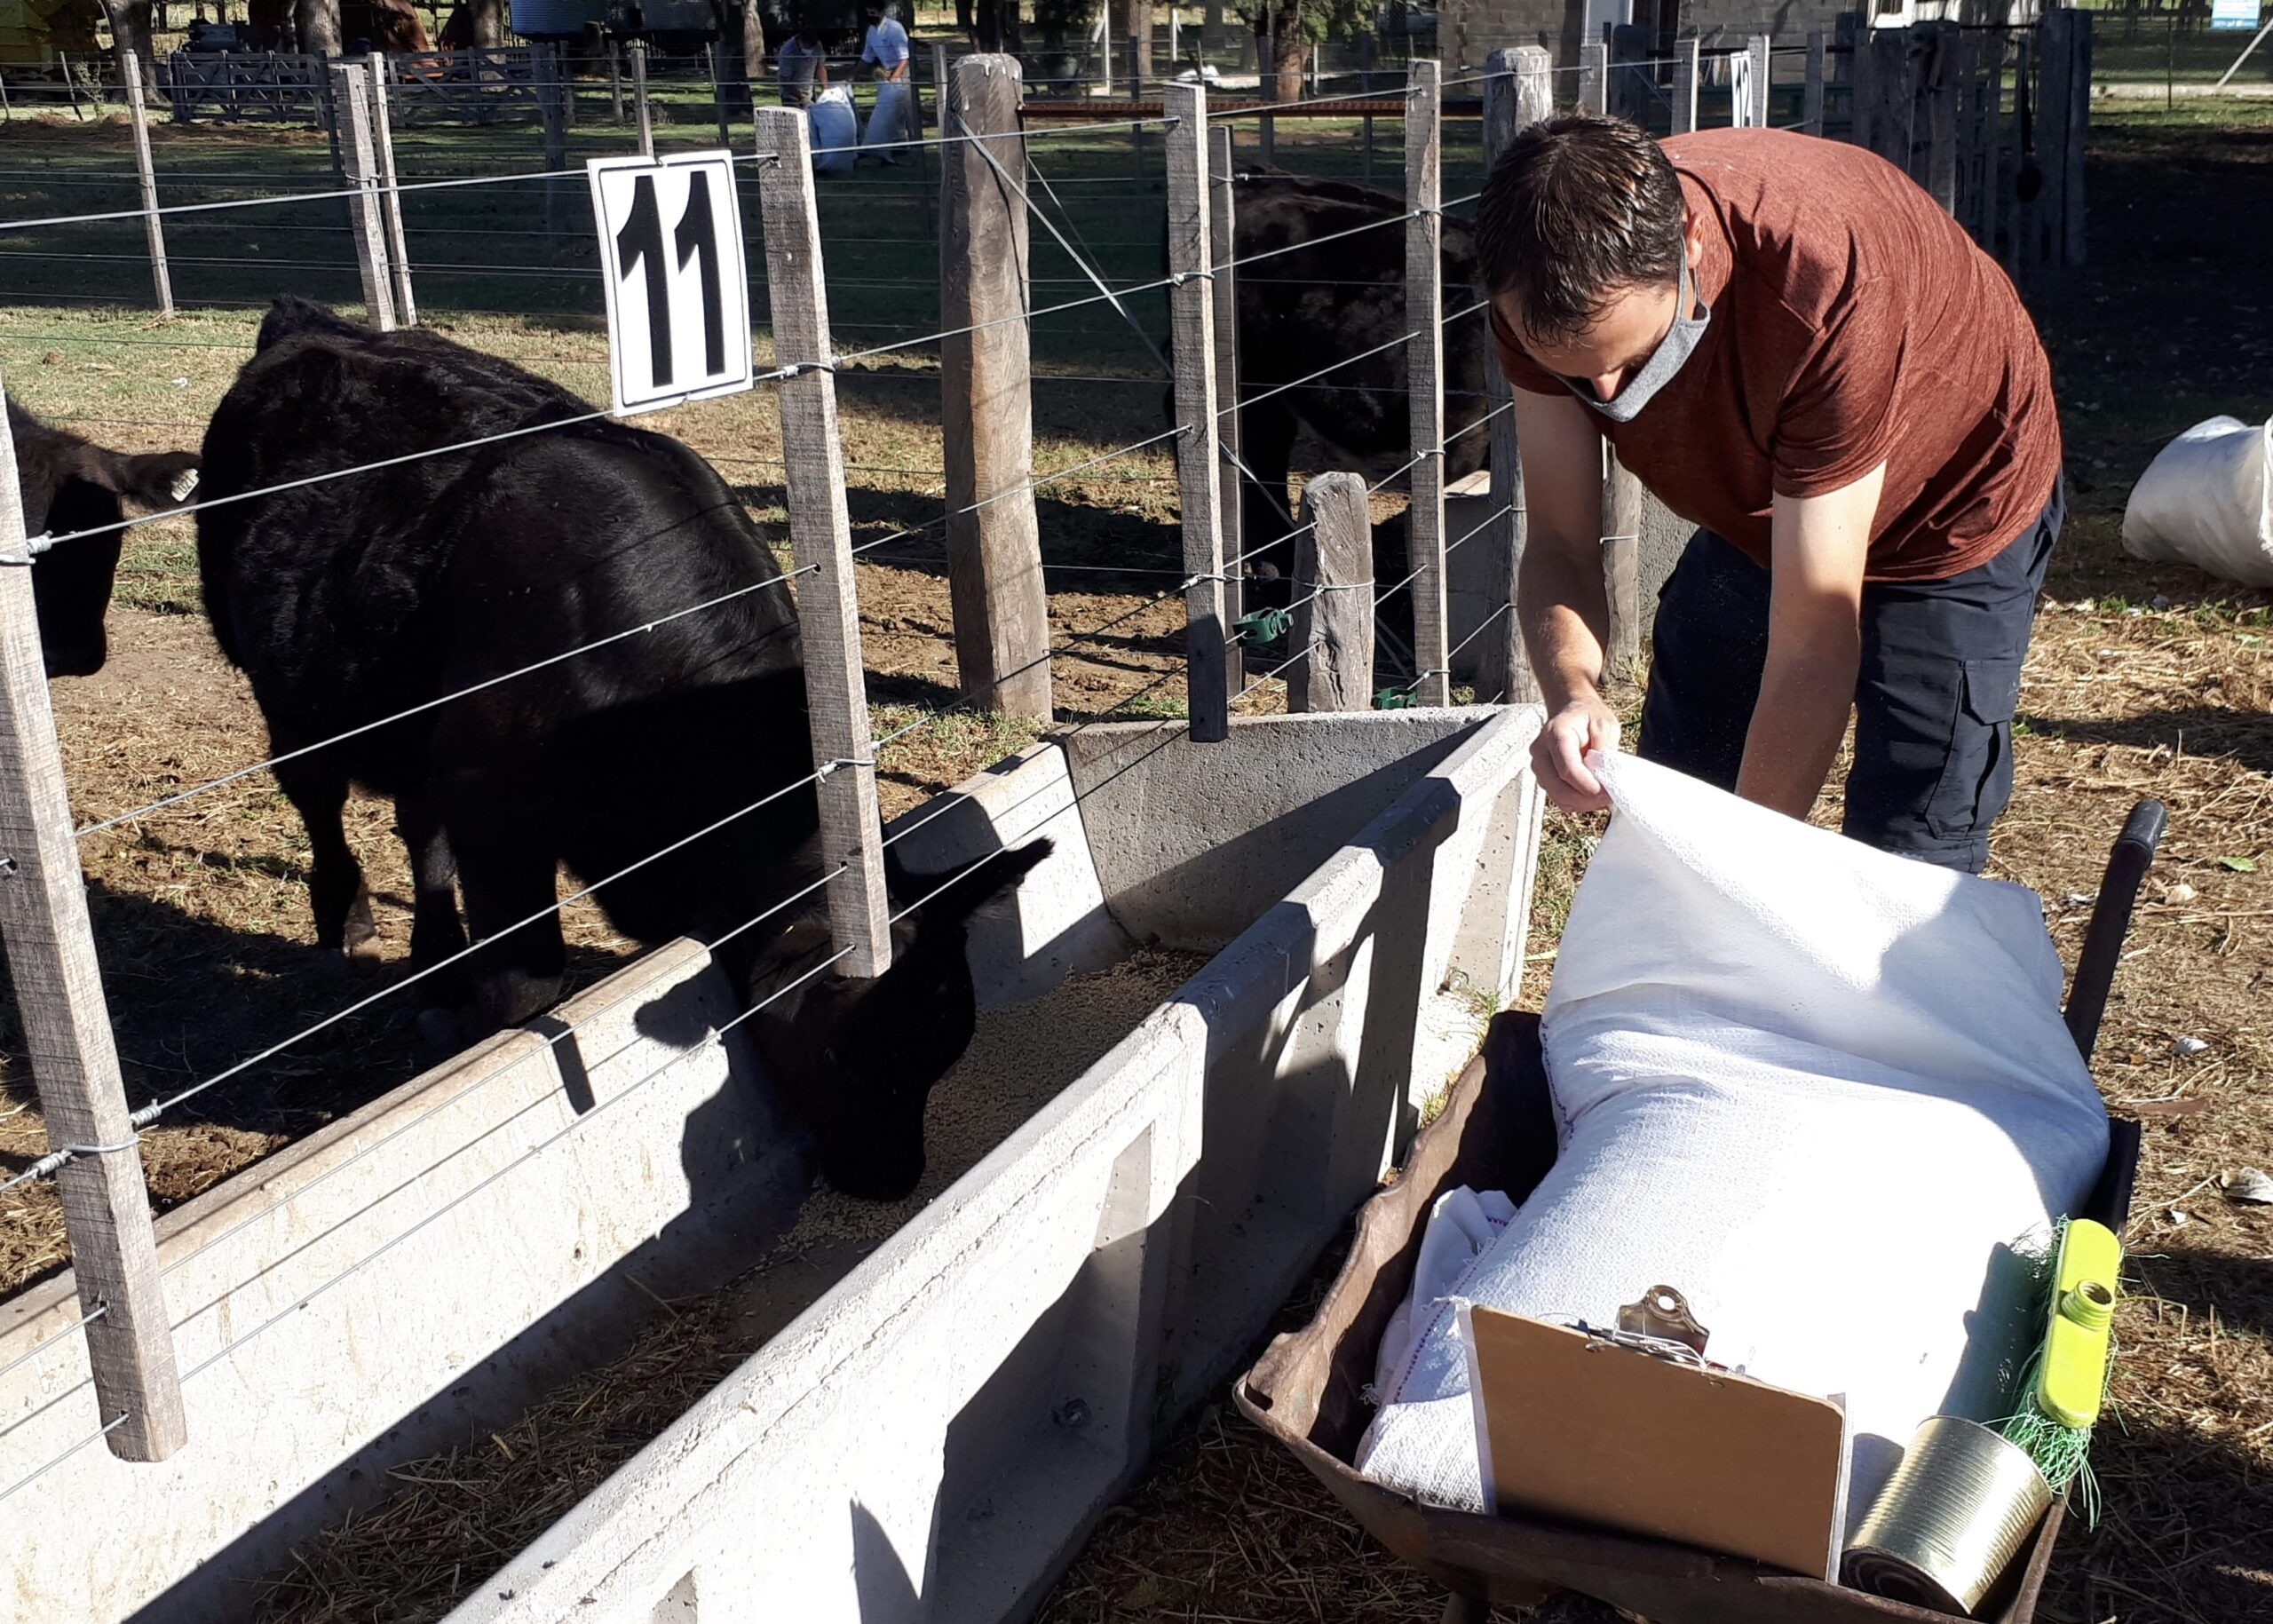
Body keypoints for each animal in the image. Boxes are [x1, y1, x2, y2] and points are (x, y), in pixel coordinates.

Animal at [200, 297, 1041, 1192]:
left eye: (946, 1049)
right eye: (851, 1057)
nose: (895, 1182)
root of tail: (312, 322)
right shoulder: (492, 800)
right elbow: (527, 978)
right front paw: (475, 1042)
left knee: (417, 826)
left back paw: (436, 954)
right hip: (284, 686)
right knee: (320, 800)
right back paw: (350, 923)